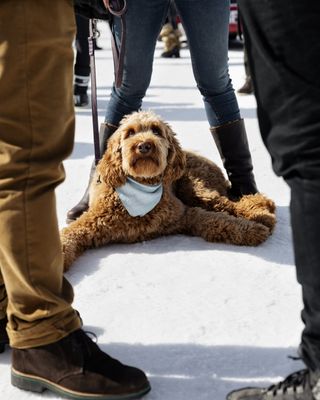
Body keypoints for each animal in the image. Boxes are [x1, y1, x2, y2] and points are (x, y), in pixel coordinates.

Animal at [61, 111, 276, 270]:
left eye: (156, 131)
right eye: (130, 133)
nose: (144, 145)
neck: (141, 188)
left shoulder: (183, 214)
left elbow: (219, 220)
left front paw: (252, 229)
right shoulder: (91, 223)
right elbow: (69, 235)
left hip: (196, 189)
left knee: (232, 204)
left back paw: (263, 212)